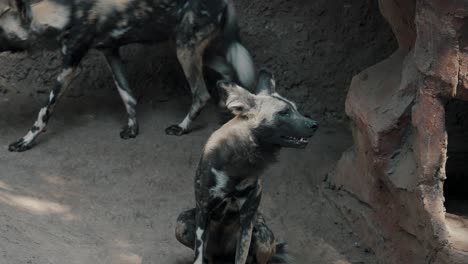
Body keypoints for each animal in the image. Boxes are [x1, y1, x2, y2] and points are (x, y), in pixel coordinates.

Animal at [0, 0, 254, 152]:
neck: (64, 12)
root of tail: (225, 0)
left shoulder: (70, 65)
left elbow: (44, 111)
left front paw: (26, 141)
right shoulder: (110, 52)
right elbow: (127, 96)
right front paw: (133, 129)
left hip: (185, 50)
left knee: (201, 94)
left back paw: (181, 128)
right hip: (195, 50)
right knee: (227, 72)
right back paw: (227, 115)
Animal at [176, 69, 318, 264]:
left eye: (296, 109)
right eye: (284, 112)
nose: (315, 124)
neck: (238, 163)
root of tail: (222, 255)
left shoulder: (247, 221)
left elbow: (241, 257)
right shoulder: (203, 212)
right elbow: (198, 257)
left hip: (263, 237)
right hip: (182, 224)